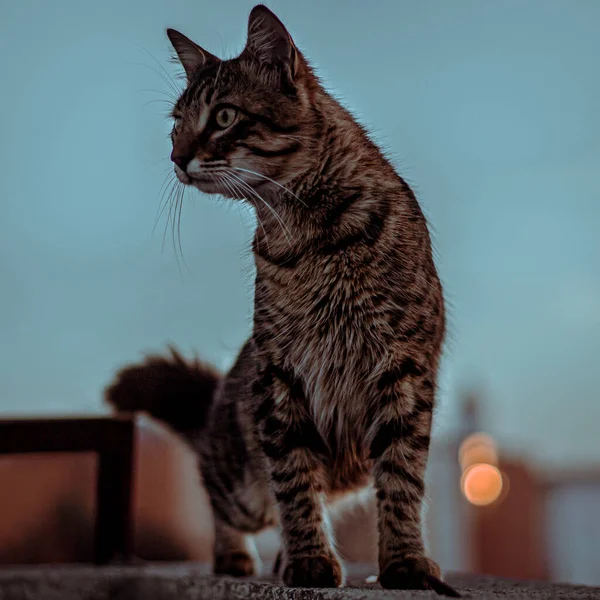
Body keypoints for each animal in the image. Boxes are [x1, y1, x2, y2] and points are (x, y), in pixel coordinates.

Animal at [105, 4, 460, 596]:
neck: (315, 233)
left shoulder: (403, 372)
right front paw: (310, 560)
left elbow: (401, 480)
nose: (177, 157)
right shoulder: (279, 376)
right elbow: (294, 481)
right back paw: (237, 554)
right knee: (227, 498)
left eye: (224, 116)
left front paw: (405, 560)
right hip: (240, 478)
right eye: (176, 124)